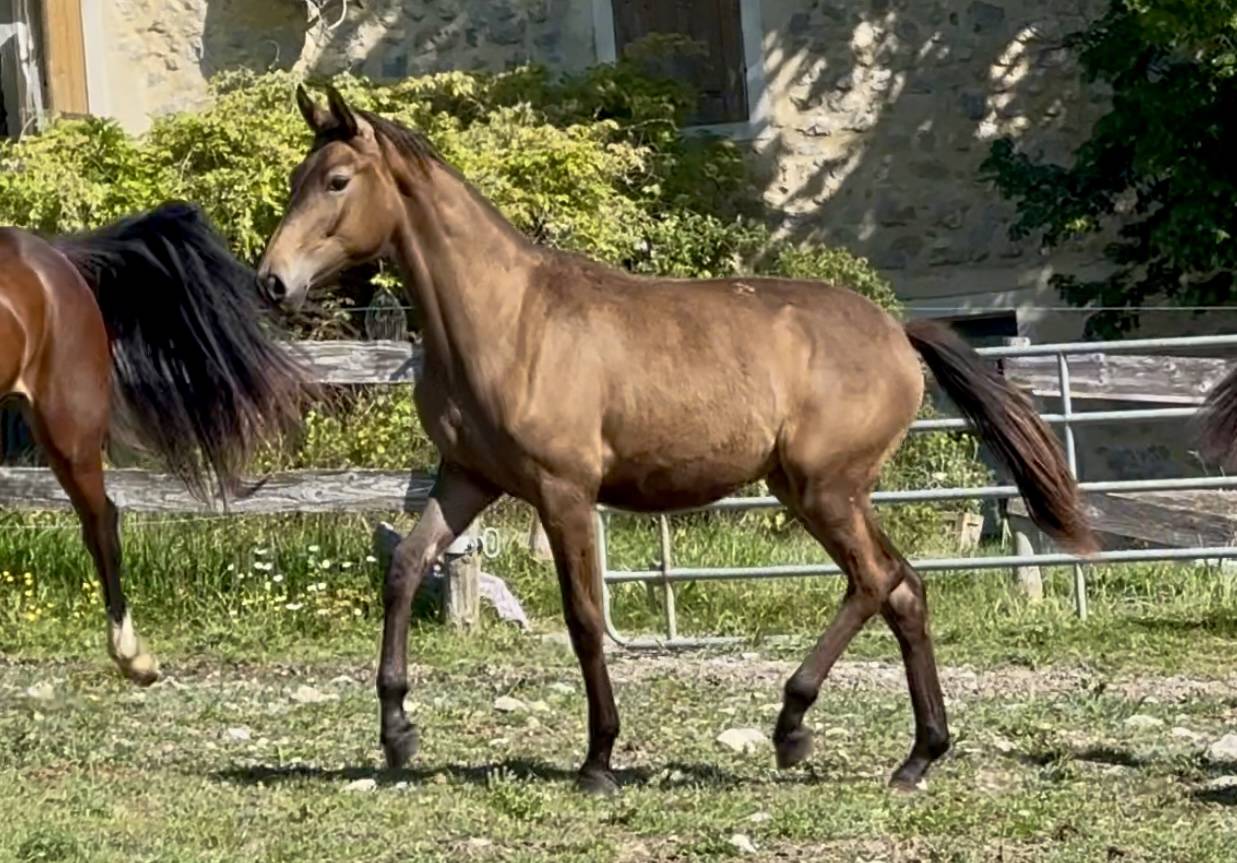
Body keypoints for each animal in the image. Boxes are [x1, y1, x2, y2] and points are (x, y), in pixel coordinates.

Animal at [258, 85, 1095, 794]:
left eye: (336, 180)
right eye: (298, 175)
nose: (272, 282)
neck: (506, 319)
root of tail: (896, 330)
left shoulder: (563, 491)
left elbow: (584, 618)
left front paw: (598, 759)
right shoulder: (466, 476)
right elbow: (403, 567)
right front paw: (397, 733)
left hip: (825, 487)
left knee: (874, 580)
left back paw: (793, 728)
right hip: (813, 490)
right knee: (904, 589)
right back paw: (917, 756)